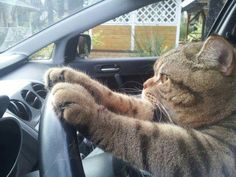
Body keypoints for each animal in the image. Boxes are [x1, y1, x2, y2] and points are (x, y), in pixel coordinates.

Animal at [44, 35, 236, 177]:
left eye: (165, 78)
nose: (144, 84)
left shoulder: (203, 153)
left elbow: (132, 131)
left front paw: (85, 106)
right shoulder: (154, 112)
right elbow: (117, 99)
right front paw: (66, 74)